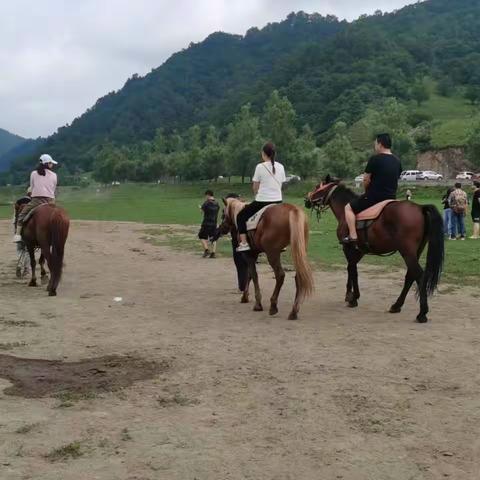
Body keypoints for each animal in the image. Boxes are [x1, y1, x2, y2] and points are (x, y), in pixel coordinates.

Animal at [306, 176, 444, 322]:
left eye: (317, 187)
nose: (306, 200)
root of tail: (420, 207)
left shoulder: (348, 247)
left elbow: (352, 270)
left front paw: (353, 297)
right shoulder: (359, 251)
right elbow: (352, 268)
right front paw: (351, 294)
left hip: (407, 252)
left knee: (419, 276)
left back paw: (422, 313)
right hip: (415, 252)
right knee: (410, 276)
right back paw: (396, 305)